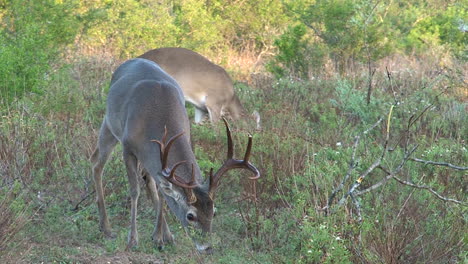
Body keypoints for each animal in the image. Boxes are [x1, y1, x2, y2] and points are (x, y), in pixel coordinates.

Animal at [91, 58, 260, 254]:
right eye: (190, 216)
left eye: (214, 212)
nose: (207, 247)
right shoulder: (128, 147)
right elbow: (134, 191)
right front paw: (132, 240)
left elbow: (163, 193)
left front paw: (160, 237)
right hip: (109, 124)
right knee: (96, 162)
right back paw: (106, 227)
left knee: (151, 180)